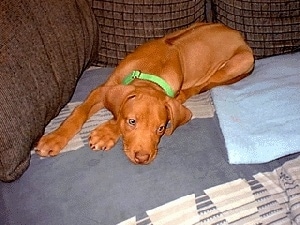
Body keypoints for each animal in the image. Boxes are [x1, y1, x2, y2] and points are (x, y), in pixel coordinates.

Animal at [35, 22, 255, 163]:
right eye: (132, 121)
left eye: (161, 128)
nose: (142, 158)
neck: (151, 73)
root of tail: (238, 35)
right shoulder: (102, 89)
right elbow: (79, 112)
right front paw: (55, 138)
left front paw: (107, 132)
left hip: (238, 63)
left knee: (198, 86)